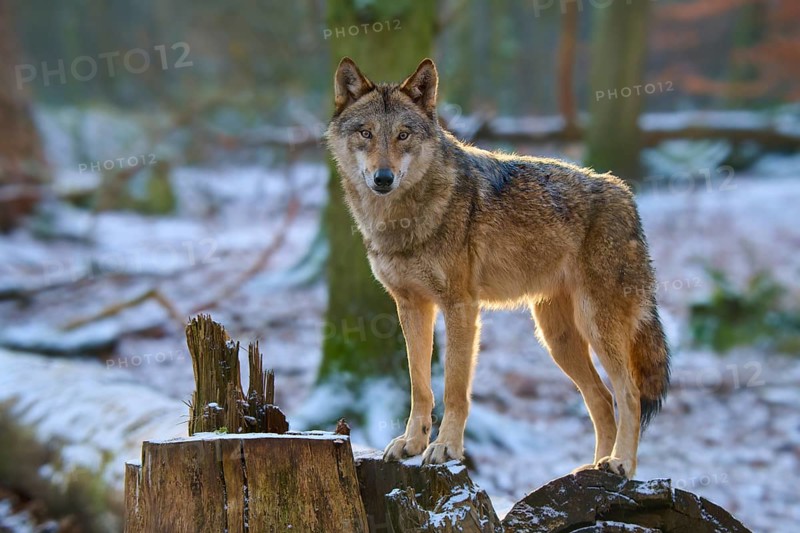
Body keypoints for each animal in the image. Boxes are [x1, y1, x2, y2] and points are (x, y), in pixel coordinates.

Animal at [326, 57, 670, 477]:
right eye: (366, 133)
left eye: (403, 135)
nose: (383, 178)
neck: (402, 219)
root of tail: (625, 194)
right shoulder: (411, 306)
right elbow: (419, 386)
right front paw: (412, 444)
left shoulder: (460, 307)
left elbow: (454, 389)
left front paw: (445, 449)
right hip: (557, 339)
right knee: (602, 400)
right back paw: (592, 467)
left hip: (596, 326)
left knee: (629, 394)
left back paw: (620, 464)